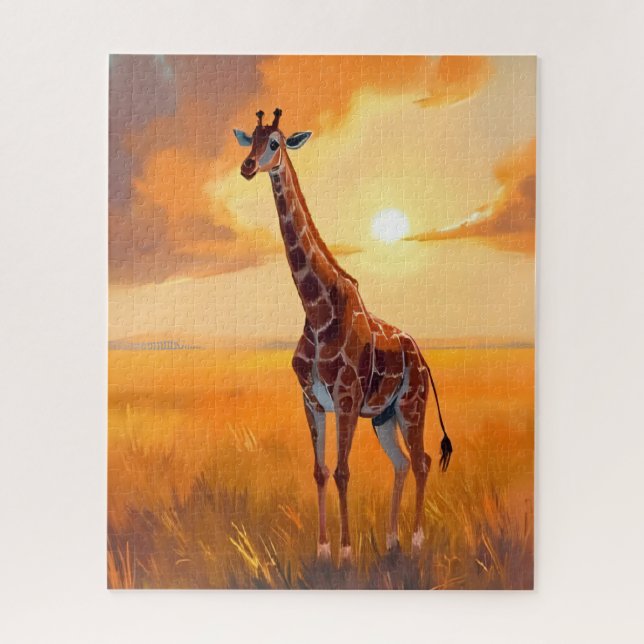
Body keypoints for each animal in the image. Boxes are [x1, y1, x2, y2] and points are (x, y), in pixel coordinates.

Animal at [233, 108, 452, 563]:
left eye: (275, 142)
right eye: (251, 139)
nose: (247, 166)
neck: (317, 311)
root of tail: (422, 358)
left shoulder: (347, 399)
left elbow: (343, 471)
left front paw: (347, 553)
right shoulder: (311, 399)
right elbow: (319, 471)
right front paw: (322, 550)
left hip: (412, 405)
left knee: (421, 460)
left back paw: (416, 541)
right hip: (384, 417)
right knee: (401, 463)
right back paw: (391, 541)